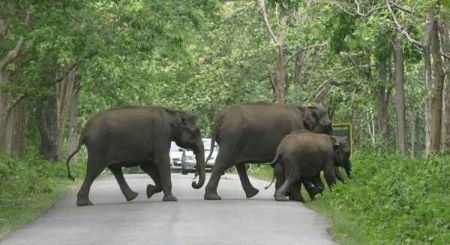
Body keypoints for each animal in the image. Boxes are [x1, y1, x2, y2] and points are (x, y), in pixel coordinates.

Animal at [65, 106, 206, 206]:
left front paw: (149, 191)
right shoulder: (161, 135)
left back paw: (132, 196)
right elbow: (161, 161)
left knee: (114, 169)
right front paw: (172, 199)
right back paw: (84, 203)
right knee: (94, 170)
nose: (193, 183)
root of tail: (84, 131)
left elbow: (147, 165)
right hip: (98, 146)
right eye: (196, 132)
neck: (173, 112)